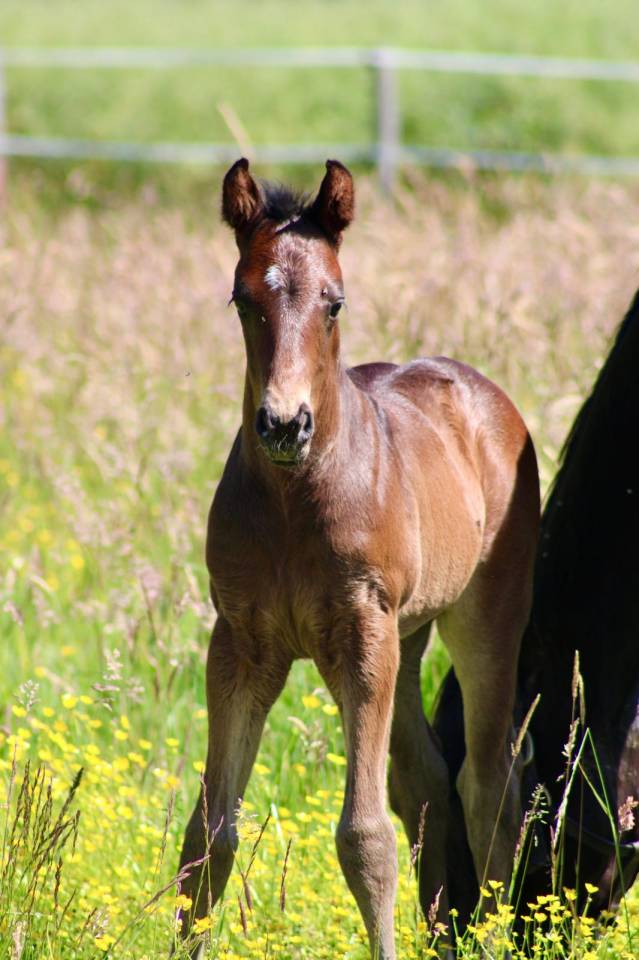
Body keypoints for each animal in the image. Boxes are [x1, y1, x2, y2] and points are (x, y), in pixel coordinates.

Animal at [176, 158, 540, 959]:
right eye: (242, 299)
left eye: (334, 304)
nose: (284, 424)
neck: (294, 500)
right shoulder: (241, 643)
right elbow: (208, 834)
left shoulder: (361, 631)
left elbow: (364, 837)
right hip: (404, 636)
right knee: (424, 780)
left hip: (481, 618)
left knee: (488, 786)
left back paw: (487, 936)